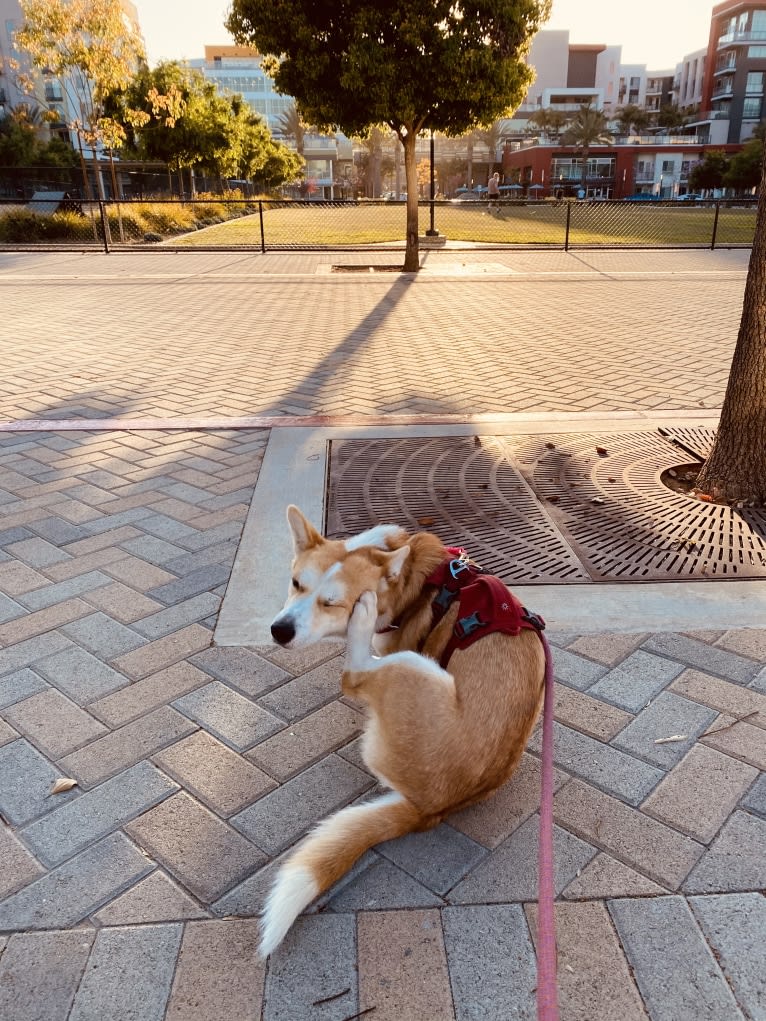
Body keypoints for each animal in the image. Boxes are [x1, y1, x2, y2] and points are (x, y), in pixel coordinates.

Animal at [261, 508, 547, 955]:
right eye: (296, 584)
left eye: (333, 603)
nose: (280, 631)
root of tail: (431, 808)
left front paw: (362, 617)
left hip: (413, 668)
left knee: (354, 675)